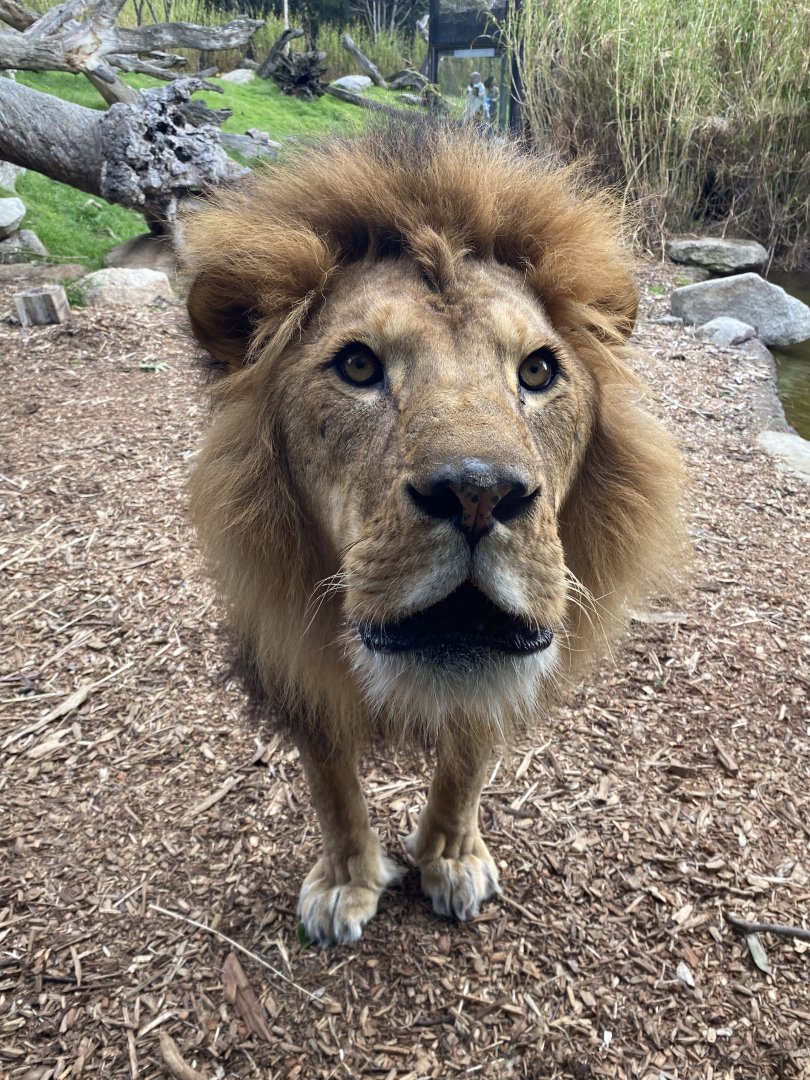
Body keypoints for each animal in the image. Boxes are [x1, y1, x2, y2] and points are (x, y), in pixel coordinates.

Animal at [182, 123, 686, 947]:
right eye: (358, 365)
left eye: (538, 371)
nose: (479, 493)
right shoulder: (291, 660)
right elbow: (332, 784)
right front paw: (348, 882)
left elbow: (467, 763)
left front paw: (449, 858)